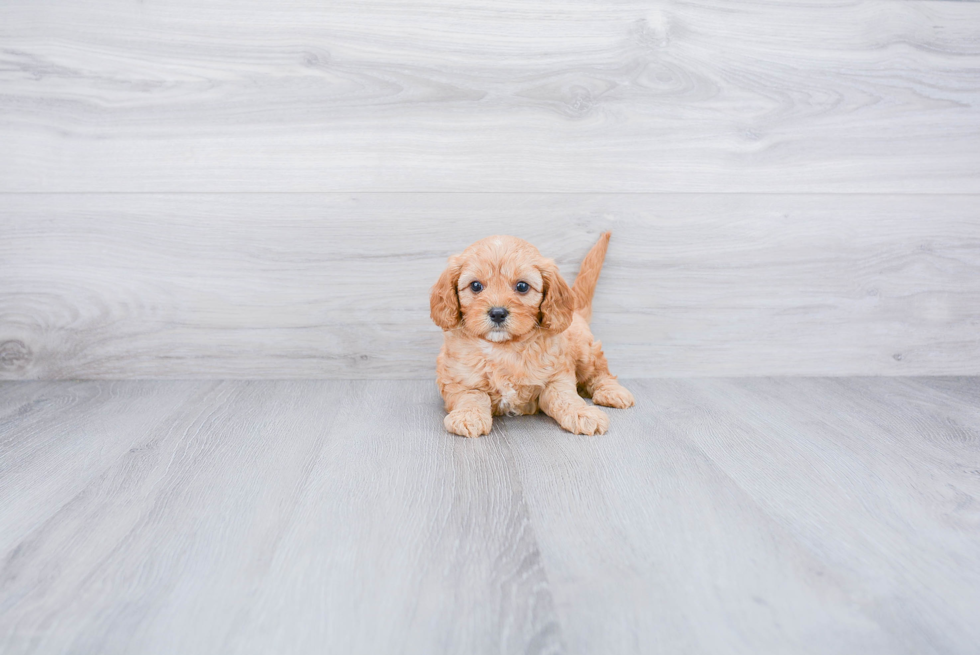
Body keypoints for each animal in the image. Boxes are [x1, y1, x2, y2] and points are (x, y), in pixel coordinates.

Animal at [430, 233, 636, 438]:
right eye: (475, 286)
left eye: (522, 286)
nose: (497, 313)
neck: (503, 347)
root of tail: (576, 311)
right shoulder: (458, 380)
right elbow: (472, 396)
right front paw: (468, 415)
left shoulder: (556, 376)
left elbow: (565, 397)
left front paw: (582, 413)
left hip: (585, 353)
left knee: (600, 373)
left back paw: (613, 392)